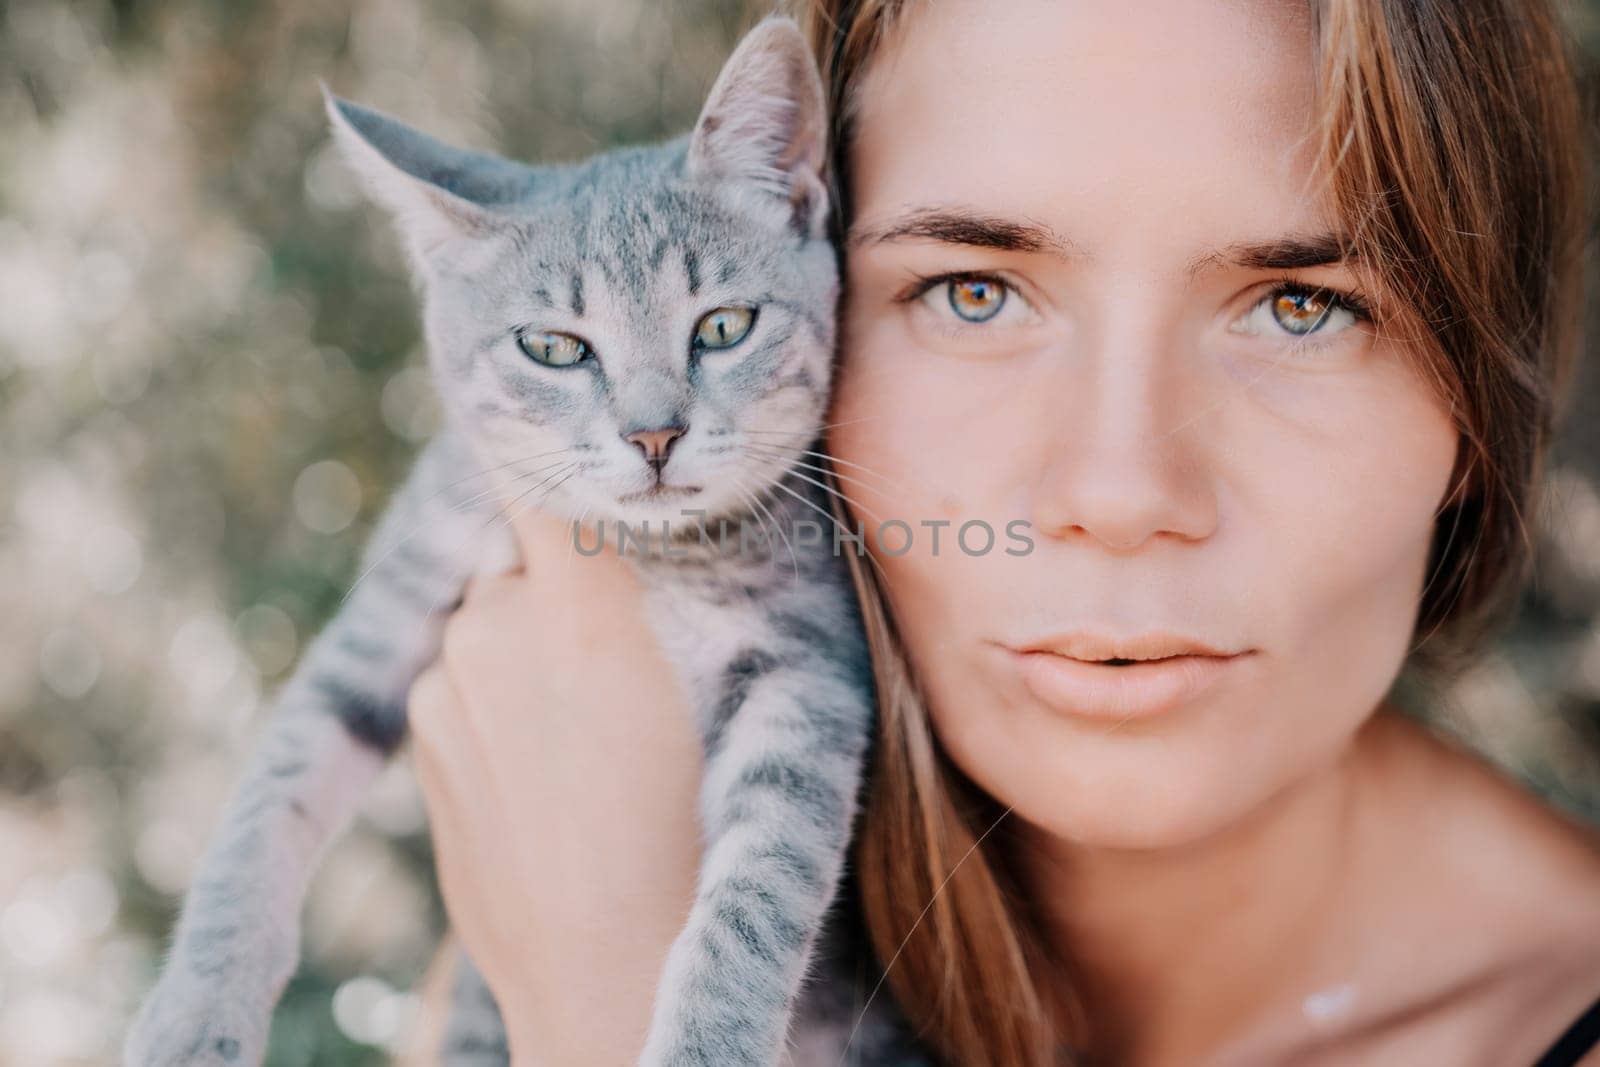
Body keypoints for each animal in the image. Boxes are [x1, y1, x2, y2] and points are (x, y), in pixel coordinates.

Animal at [128, 18, 889, 1067]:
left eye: (724, 326)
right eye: (555, 347)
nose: (655, 434)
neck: (641, 553)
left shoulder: (809, 669)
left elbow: (756, 890)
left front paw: (707, 1040)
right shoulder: (392, 605)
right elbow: (267, 799)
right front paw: (196, 1011)